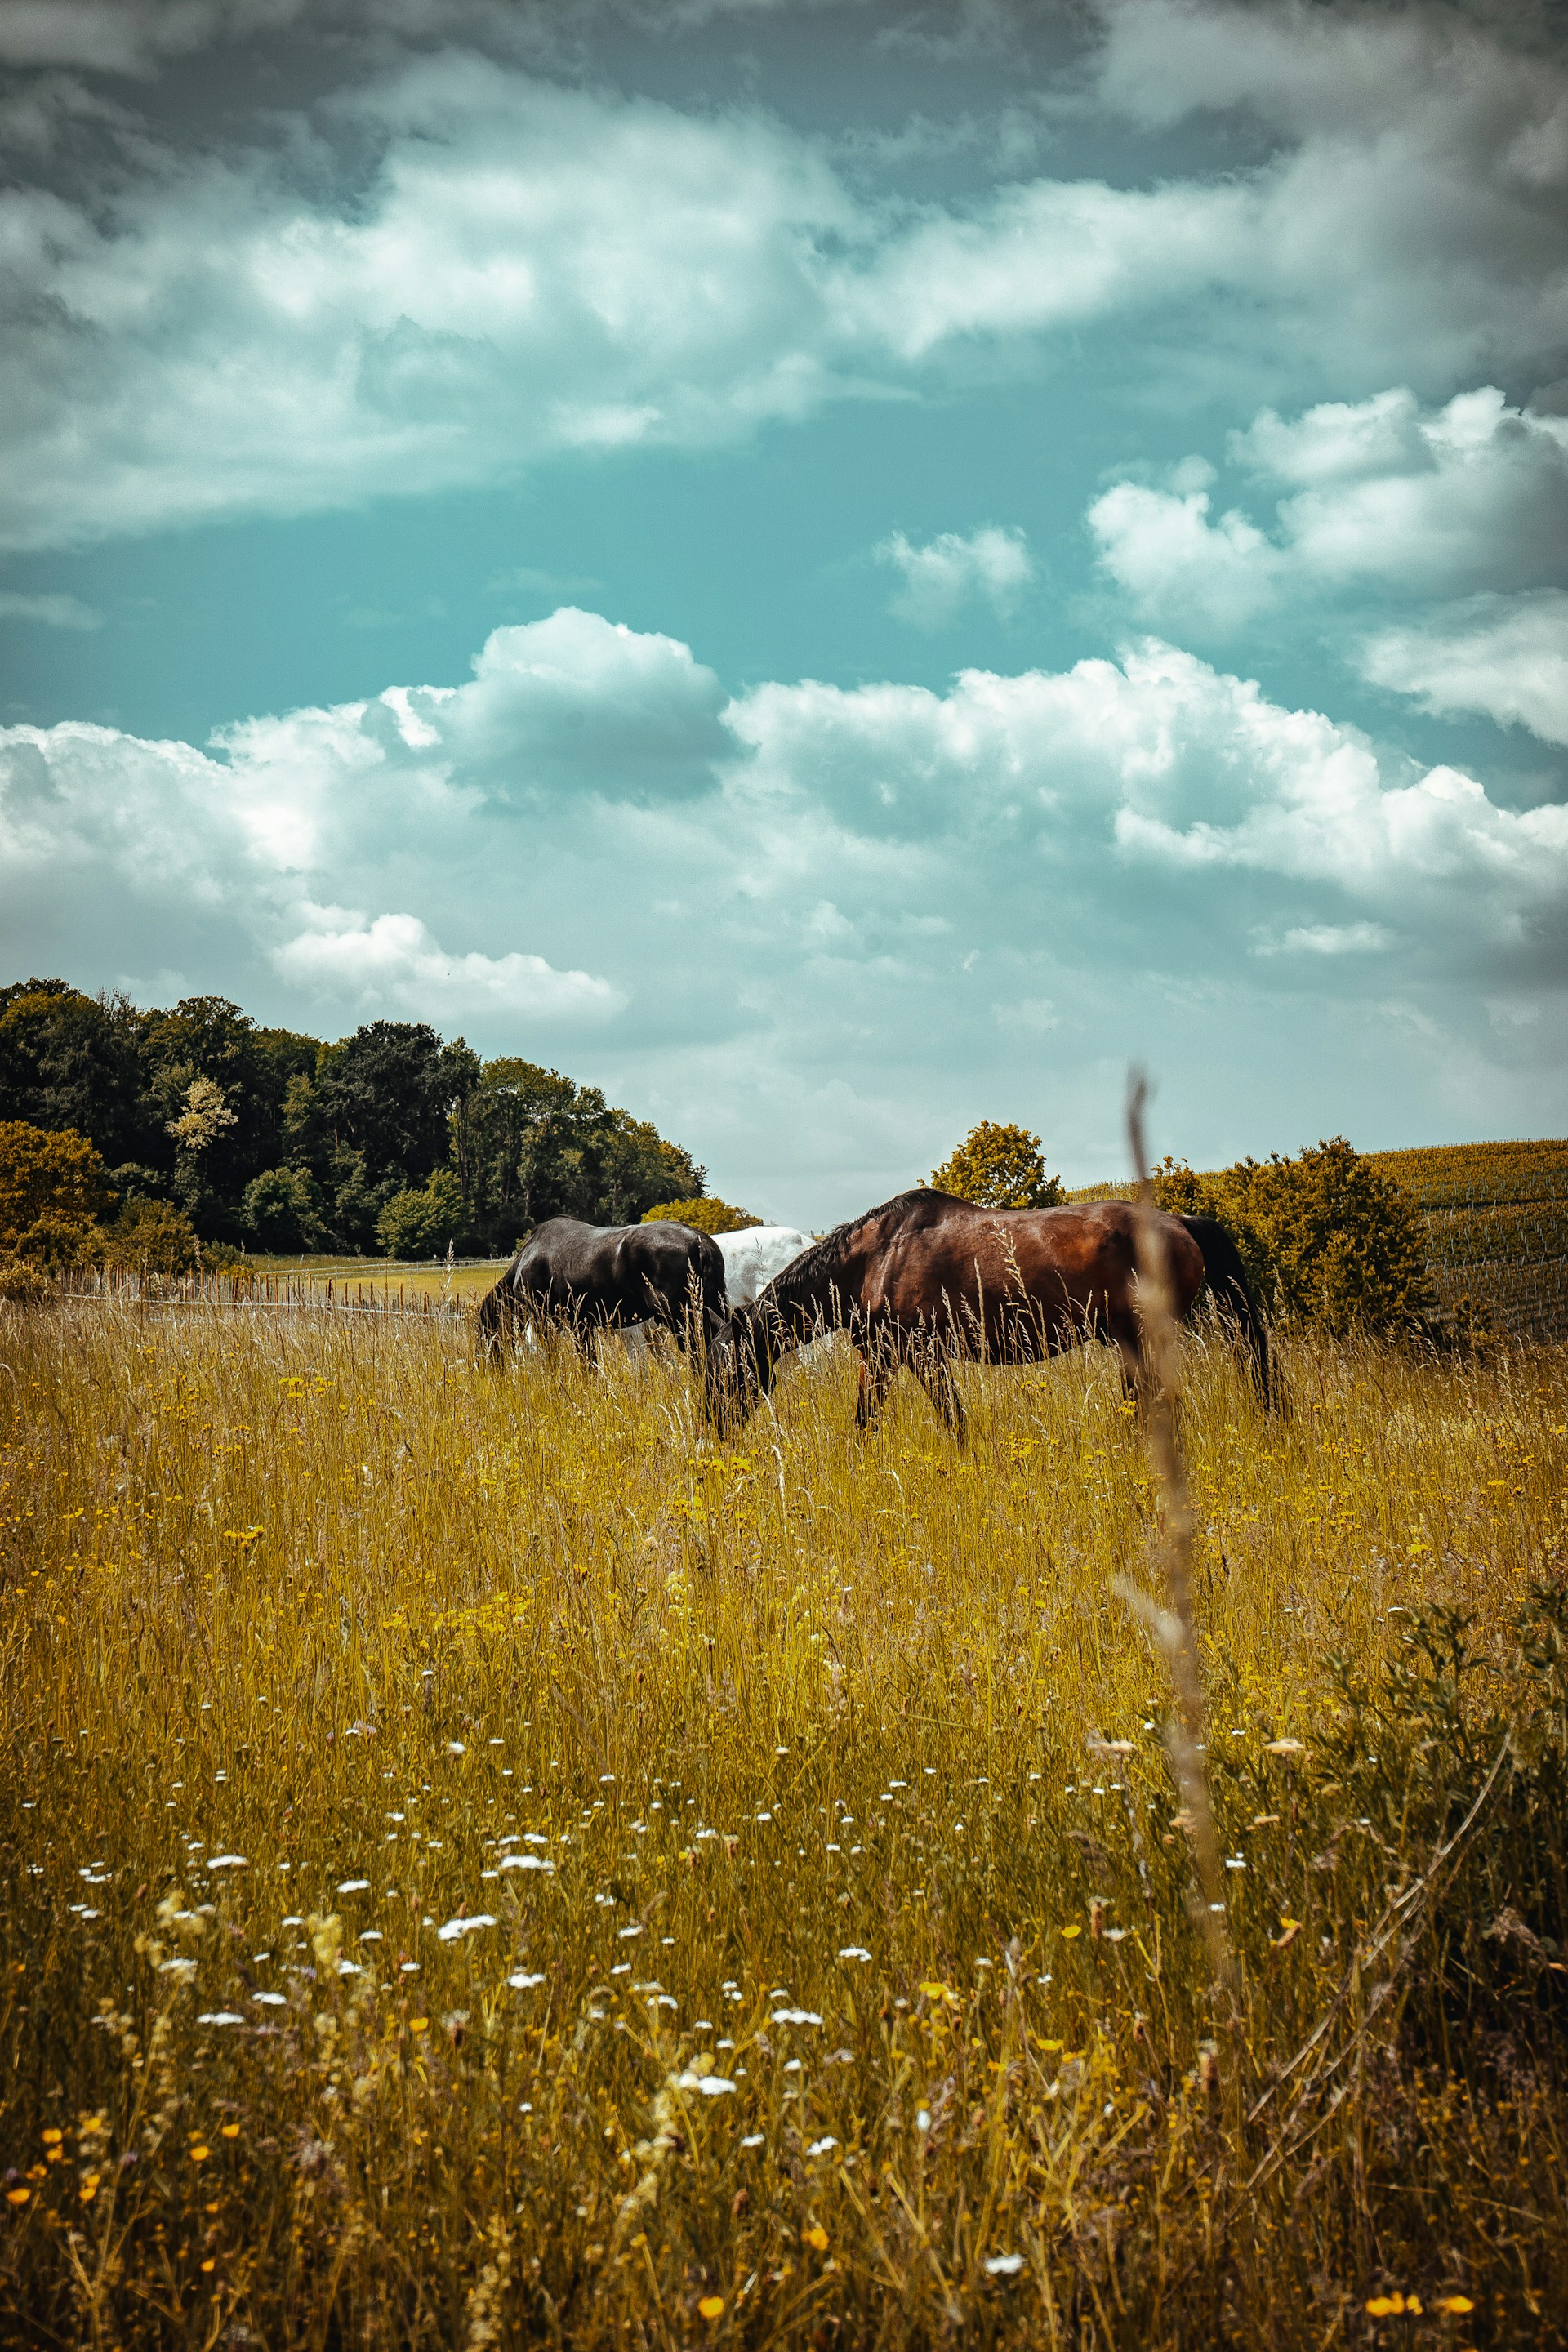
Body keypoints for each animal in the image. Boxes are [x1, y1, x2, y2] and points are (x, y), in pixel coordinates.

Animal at [478, 1217, 726, 1361]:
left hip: (681, 1319)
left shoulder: (546, 1323)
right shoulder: (581, 1325)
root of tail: (700, 1242)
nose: (488, 1365)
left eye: (487, 1330)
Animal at [704, 1188, 1270, 1436]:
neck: (876, 1257)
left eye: (726, 1371)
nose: (714, 1429)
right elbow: (870, 1421)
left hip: (1140, 1338)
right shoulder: (883, 1357)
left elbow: (943, 1420)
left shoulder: (916, 1355)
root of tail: (1179, 1222)